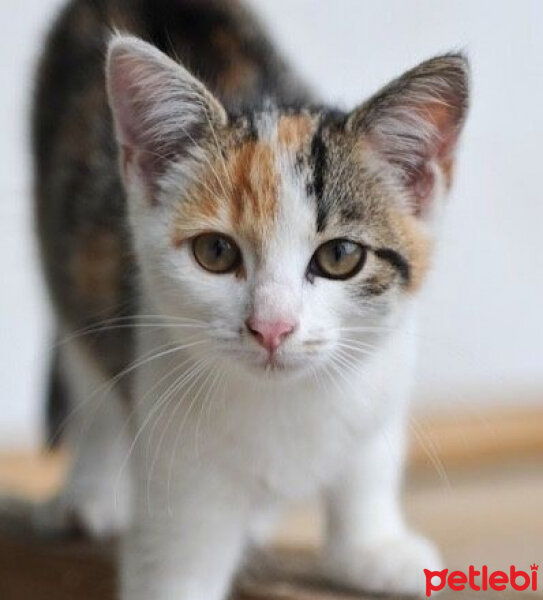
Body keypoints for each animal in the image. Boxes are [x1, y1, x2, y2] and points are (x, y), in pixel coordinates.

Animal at [33, 1, 468, 600]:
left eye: (340, 256)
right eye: (215, 251)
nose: (272, 327)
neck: (287, 400)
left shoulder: (385, 371)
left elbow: (367, 462)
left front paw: (372, 546)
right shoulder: (176, 451)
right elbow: (177, 571)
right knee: (87, 375)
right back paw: (91, 493)